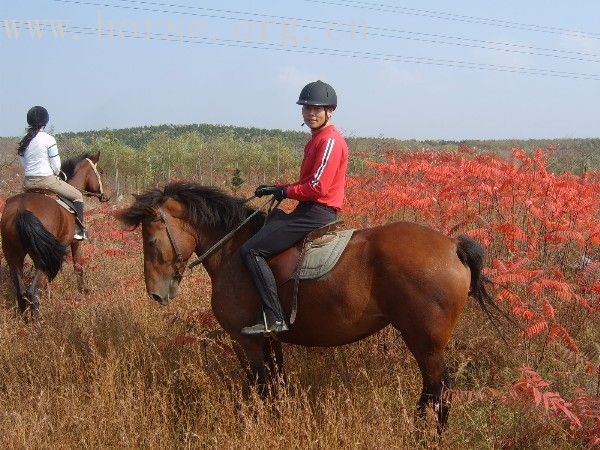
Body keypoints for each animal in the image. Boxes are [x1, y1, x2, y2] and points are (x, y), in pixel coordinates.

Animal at [0, 153, 110, 318]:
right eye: (101, 172)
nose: (107, 195)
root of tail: (21, 210)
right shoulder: (74, 243)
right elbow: (78, 267)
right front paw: (83, 291)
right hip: (40, 256)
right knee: (32, 291)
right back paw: (36, 320)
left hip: (13, 256)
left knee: (21, 292)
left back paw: (25, 319)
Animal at [118, 181, 496, 430]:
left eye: (150, 241)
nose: (156, 294)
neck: (232, 250)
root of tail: (452, 246)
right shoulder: (269, 339)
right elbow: (276, 384)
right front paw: (279, 419)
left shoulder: (246, 341)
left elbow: (257, 386)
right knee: (433, 390)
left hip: (425, 342)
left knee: (440, 390)